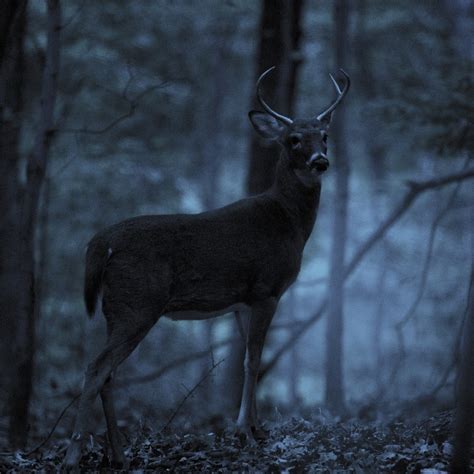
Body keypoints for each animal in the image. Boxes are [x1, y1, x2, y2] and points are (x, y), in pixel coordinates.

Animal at [63, 66, 350, 466]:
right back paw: (73, 454)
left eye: (324, 135)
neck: (288, 221)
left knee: (109, 372)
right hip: (137, 304)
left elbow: (249, 359)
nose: (320, 161)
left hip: (117, 309)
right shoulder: (268, 288)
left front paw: (257, 430)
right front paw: (244, 432)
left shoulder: (244, 300)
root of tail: (100, 243)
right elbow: (253, 360)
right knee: (97, 367)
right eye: (293, 139)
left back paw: (119, 454)